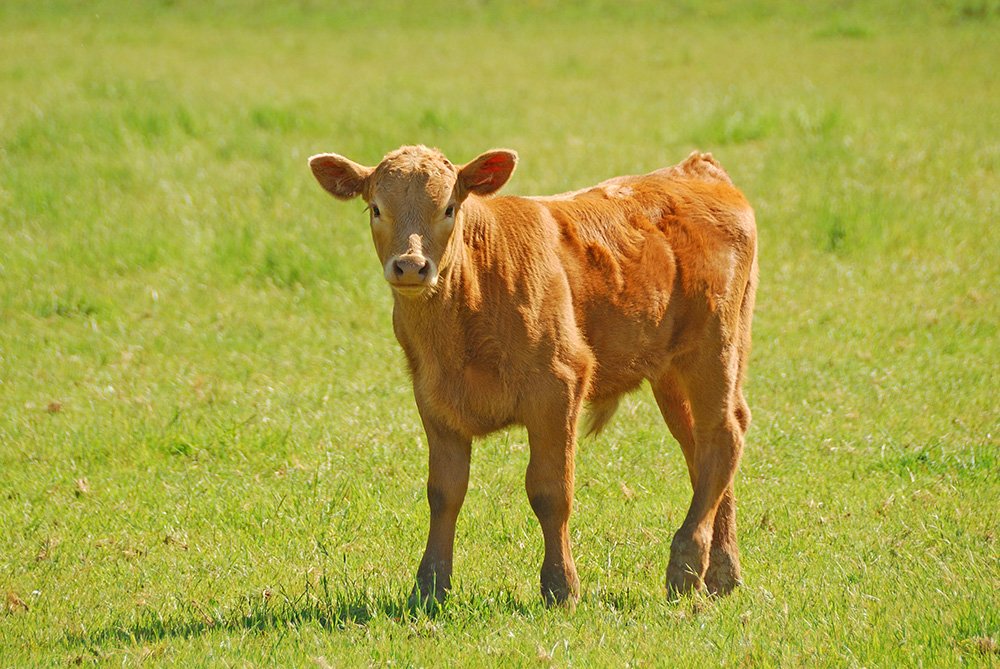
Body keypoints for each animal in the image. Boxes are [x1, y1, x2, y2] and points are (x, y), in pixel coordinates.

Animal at [308, 144, 752, 604]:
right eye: (376, 208)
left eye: (449, 207)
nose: (411, 266)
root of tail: (694, 169)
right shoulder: (434, 401)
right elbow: (444, 492)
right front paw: (429, 587)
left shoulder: (559, 387)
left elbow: (550, 491)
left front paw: (560, 586)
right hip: (669, 368)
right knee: (699, 447)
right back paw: (721, 572)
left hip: (715, 346)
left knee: (722, 435)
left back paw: (687, 566)